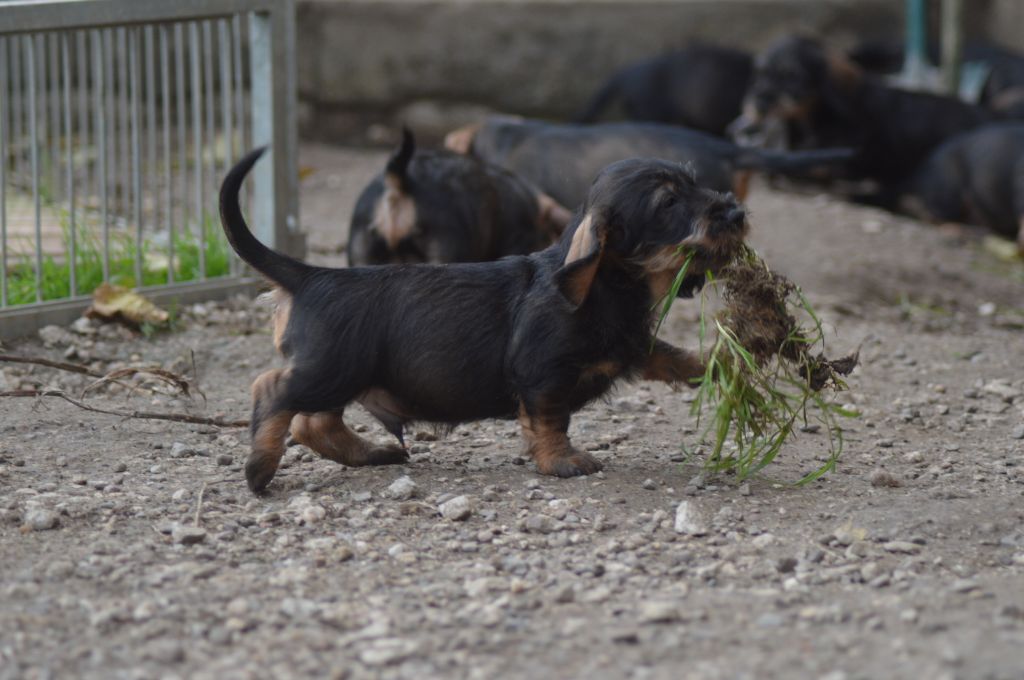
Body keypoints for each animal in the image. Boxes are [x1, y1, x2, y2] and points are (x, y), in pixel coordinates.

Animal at [220, 148, 749, 491]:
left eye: (694, 184)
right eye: (669, 203)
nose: (738, 212)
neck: (607, 286)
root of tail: (311, 276)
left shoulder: (632, 346)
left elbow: (675, 358)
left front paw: (725, 361)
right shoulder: (543, 374)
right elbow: (551, 420)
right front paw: (562, 462)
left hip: (344, 376)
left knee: (314, 423)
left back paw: (372, 453)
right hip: (332, 369)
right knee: (271, 389)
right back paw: (261, 468)